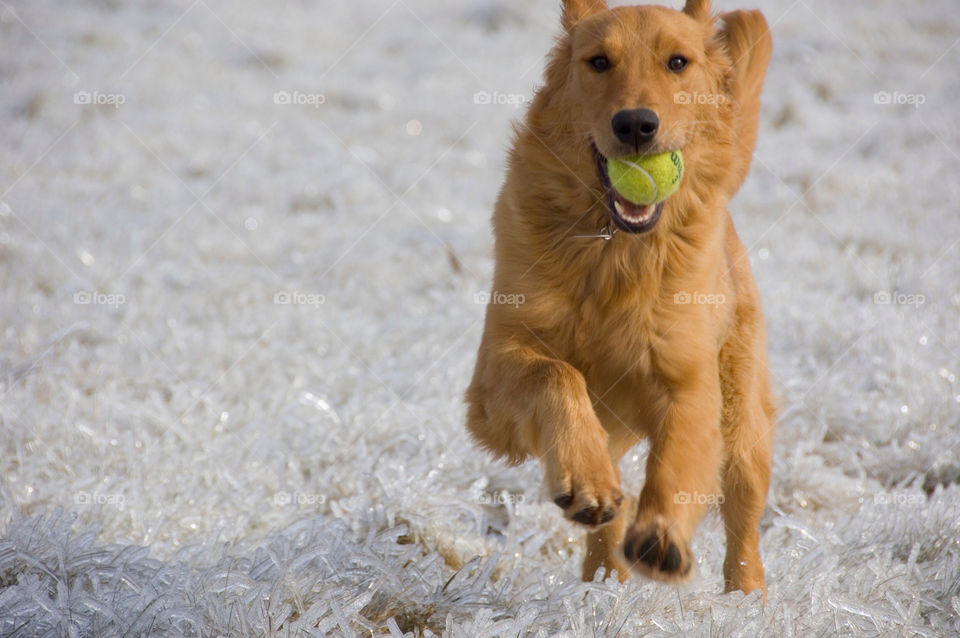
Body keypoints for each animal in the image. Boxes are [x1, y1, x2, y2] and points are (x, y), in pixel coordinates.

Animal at [464, 0, 772, 596]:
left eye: (677, 62)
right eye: (599, 62)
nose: (634, 124)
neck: (614, 252)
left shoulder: (688, 382)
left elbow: (677, 461)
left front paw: (663, 536)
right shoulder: (492, 384)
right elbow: (557, 374)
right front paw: (584, 481)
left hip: (744, 421)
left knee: (744, 523)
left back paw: (747, 601)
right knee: (611, 506)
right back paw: (603, 579)